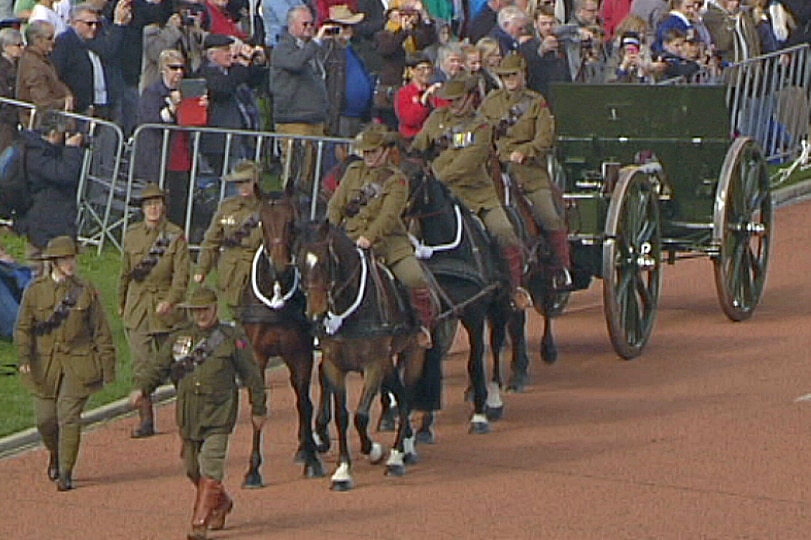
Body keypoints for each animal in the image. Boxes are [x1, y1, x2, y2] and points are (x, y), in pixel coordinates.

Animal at [239, 184, 328, 488]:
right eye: (262, 222)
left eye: (291, 223)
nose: (279, 267)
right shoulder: (257, 355)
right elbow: (258, 409)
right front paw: (253, 469)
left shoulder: (301, 352)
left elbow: (304, 402)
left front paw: (312, 459)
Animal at [296, 218, 426, 490]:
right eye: (299, 264)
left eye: (324, 263)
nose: (314, 316)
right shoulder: (335, 365)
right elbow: (342, 417)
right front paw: (343, 470)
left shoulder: (373, 365)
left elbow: (361, 416)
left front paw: (373, 449)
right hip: (388, 362)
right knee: (400, 394)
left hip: (413, 353)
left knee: (407, 396)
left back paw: (397, 456)